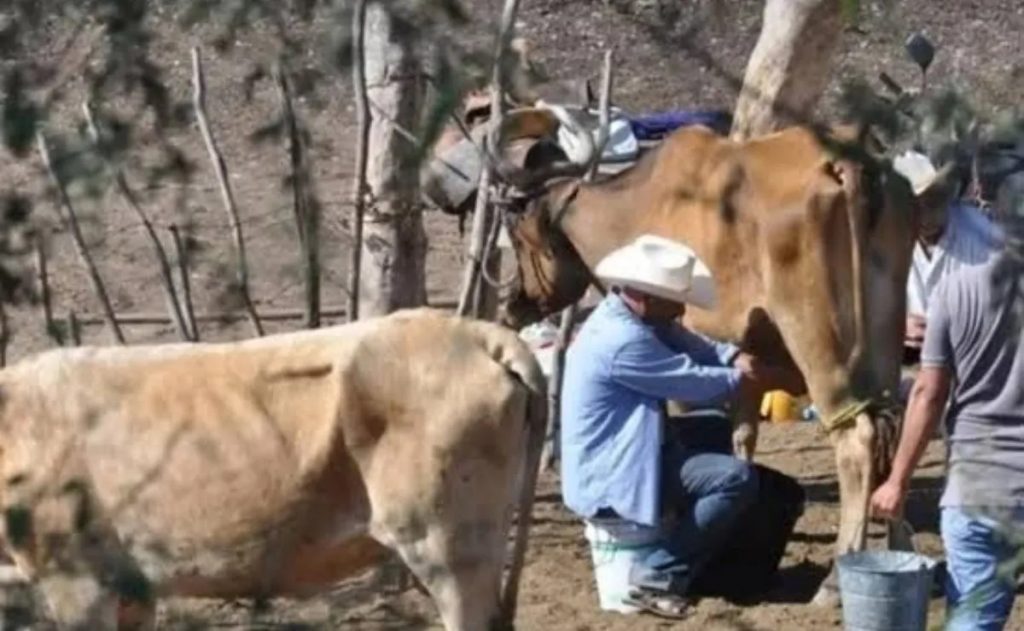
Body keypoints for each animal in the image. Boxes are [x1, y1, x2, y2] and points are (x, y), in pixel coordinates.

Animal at [493, 121, 950, 602]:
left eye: (520, 236)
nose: (511, 303)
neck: (634, 208)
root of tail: (851, 166)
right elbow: (742, 436)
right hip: (884, 338)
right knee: (895, 428)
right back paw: (901, 551)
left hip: (819, 343)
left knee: (857, 440)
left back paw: (836, 579)